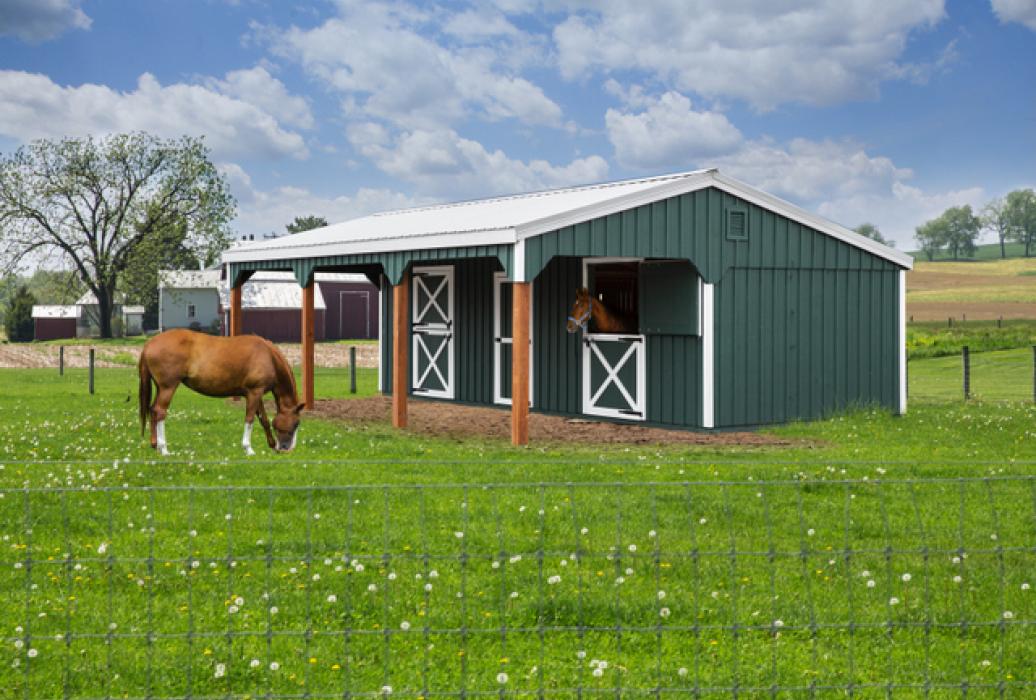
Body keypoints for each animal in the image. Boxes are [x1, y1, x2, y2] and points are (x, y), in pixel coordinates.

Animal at [138, 329, 303, 456]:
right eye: (296, 423)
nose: (287, 448)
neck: (268, 356)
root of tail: (148, 344)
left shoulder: (257, 394)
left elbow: (264, 419)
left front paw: (271, 444)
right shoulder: (255, 392)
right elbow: (250, 419)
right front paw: (248, 448)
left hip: (160, 387)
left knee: (152, 410)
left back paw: (155, 445)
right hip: (168, 387)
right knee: (160, 411)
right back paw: (164, 449)